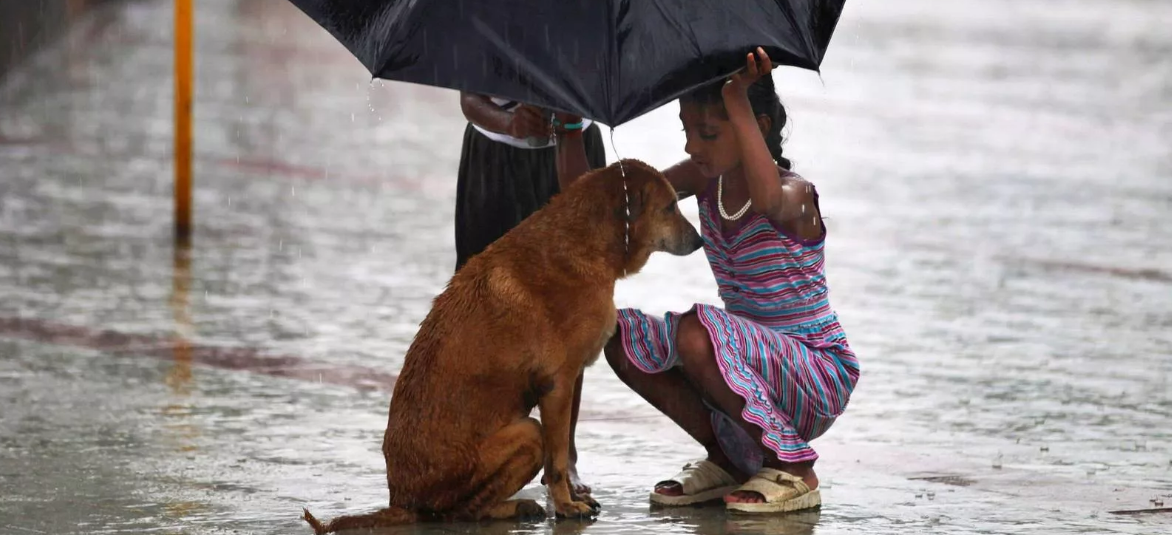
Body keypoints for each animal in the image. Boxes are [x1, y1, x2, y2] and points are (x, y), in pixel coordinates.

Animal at [304, 157, 703, 532]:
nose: (700, 241)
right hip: (527, 434)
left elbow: (562, 454)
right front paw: (566, 505)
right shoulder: (558, 384)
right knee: (459, 512)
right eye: (670, 207)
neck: (584, 241)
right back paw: (513, 507)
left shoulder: (567, 383)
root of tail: (401, 501)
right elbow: (558, 461)